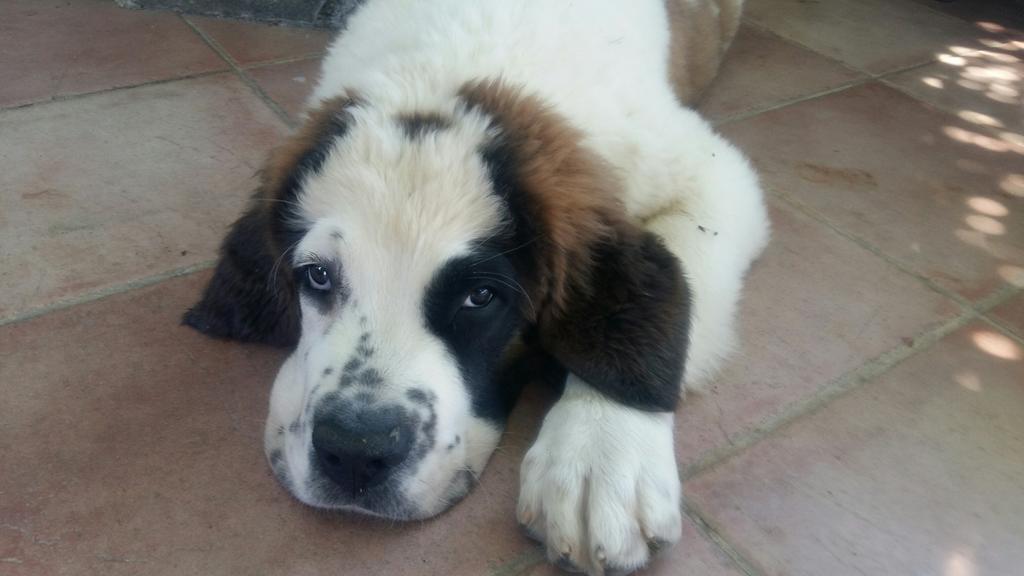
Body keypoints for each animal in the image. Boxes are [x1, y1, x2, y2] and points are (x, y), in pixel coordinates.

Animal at [184, 0, 770, 569]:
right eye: (319, 276)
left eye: (480, 297)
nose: (354, 450)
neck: (451, 65)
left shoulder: (710, 173)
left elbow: (651, 312)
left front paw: (599, 456)